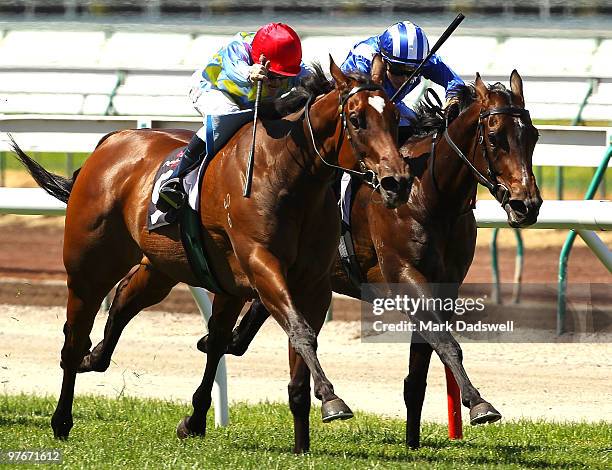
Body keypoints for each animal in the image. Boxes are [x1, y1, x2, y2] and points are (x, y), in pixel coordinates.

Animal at [11, 57, 412, 450]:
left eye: (395, 117)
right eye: (356, 119)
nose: (398, 181)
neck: (288, 175)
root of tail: (111, 141)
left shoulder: (312, 283)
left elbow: (299, 341)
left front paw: (302, 443)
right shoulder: (261, 264)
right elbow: (299, 331)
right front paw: (332, 400)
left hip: (164, 267)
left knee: (129, 303)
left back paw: (106, 366)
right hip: (89, 266)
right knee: (75, 336)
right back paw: (62, 419)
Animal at [195, 70, 540, 448]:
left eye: (534, 136)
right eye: (494, 137)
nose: (527, 204)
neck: (432, 197)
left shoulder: (443, 287)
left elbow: (420, 370)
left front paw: (413, 442)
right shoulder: (405, 276)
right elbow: (446, 344)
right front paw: (479, 404)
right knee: (226, 331)